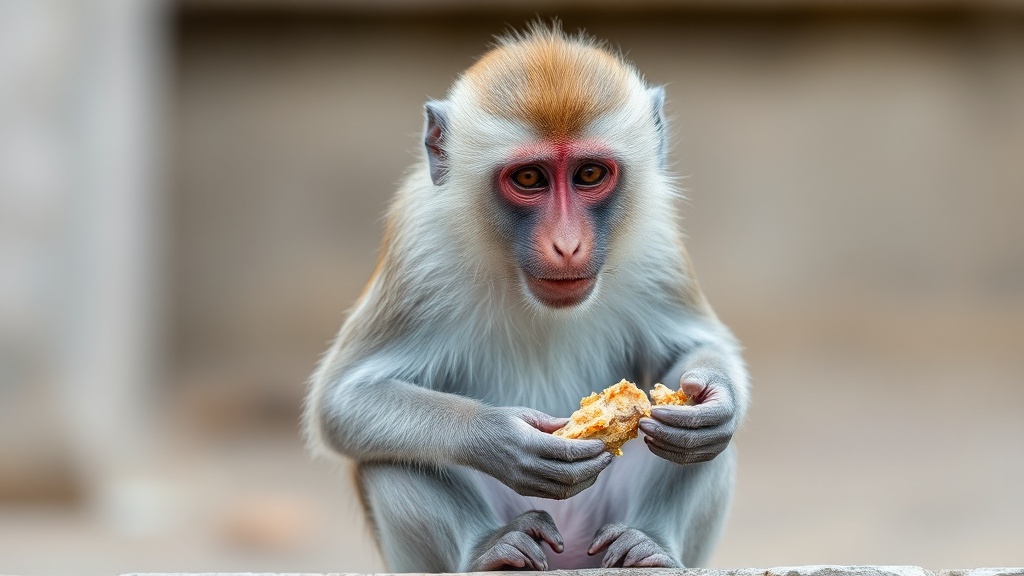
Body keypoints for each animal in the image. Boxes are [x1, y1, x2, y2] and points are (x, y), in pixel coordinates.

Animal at [304, 23, 749, 572]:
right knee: (386, 456)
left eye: (589, 174)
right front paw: (503, 439)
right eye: (530, 178)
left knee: (710, 447)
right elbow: (344, 400)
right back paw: (490, 548)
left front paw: (713, 402)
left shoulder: (656, 241)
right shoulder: (419, 247)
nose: (567, 244)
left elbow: (693, 355)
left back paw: (651, 542)